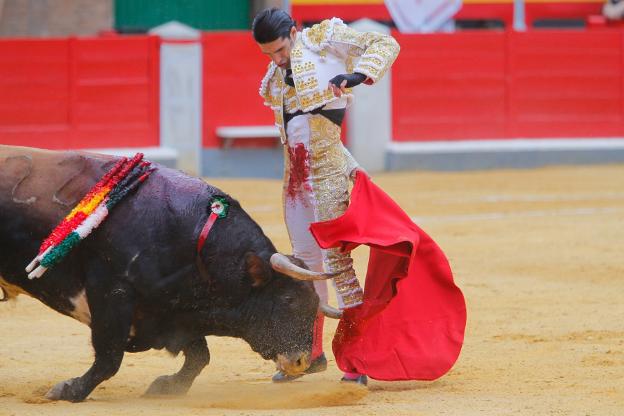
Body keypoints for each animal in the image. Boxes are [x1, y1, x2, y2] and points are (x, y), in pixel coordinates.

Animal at [1, 145, 342, 402]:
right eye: (287, 300)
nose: (301, 362)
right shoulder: (111, 293)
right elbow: (109, 358)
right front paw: (69, 390)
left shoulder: (175, 312)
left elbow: (199, 356)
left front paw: (167, 387)